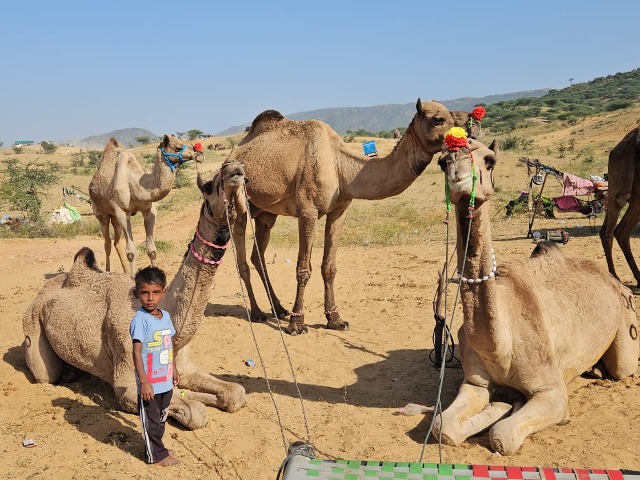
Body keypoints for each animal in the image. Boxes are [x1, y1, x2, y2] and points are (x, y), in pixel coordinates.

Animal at [22, 159, 248, 430]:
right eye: (207, 186)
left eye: (243, 178)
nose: (234, 168)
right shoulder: (127, 383)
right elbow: (195, 412)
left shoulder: (185, 367)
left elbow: (235, 393)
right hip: (33, 328)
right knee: (45, 372)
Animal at [89, 137, 204, 276]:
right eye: (177, 147)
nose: (199, 154)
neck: (135, 184)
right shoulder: (122, 212)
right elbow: (131, 252)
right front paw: (133, 276)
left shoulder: (149, 211)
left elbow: (152, 250)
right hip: (101, 212)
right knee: (107, 242)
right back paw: (107, 272)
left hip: (114, 217)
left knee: (116, 241)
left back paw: (125, 272)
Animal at [230, 99, 456, 336]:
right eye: (438, 119)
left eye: (454, 116)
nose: (463, 138)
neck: (340, 164)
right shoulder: (308, 210)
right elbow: (303, 268)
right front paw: (297, 323)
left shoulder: (339, 209)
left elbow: (329, 267)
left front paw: (335, 319)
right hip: (238, 205)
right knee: (242, 255)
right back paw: (257, 312)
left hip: (266, 213)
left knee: (258, 254)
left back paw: (279, 308)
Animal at [432, 130, 636, 454]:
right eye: (442, 162)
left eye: (489, 160)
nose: (458, 176)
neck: (501, 344)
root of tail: (613, 281)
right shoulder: (474, 384)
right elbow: (444, 426)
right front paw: (504, 404)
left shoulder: (549, 391)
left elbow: (502, 435)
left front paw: (515, 408)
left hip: (626, 327)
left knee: (621, 368)